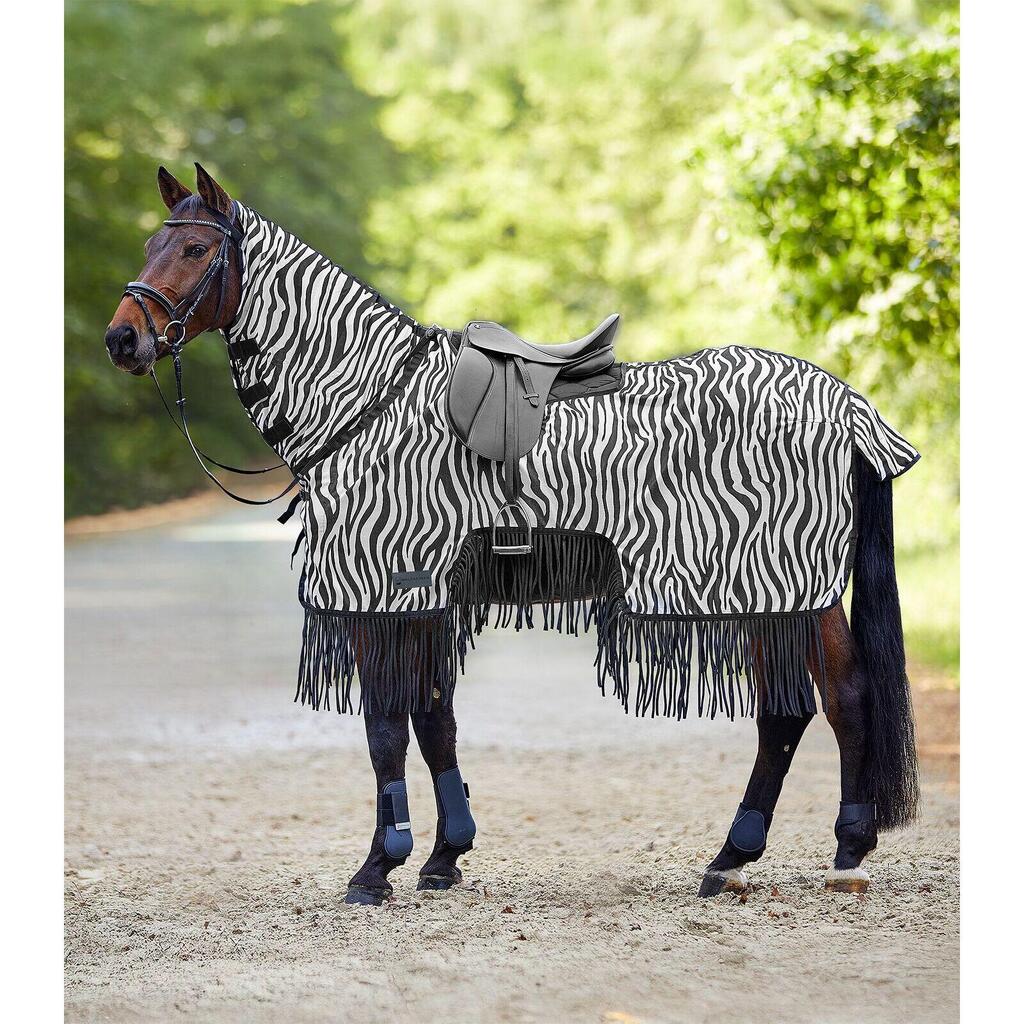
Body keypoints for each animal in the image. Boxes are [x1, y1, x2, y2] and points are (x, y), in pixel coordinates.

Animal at [104, 164, 919, 906]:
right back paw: (750, 857)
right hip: (770, 590)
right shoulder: (423, 595)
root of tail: (846, 402)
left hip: (787, 585)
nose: (122, 339)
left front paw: (378, 867)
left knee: (834, 701)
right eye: (149, 243)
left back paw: (827, 854)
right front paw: (443, 857)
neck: (368, 399)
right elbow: (435, 718)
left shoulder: (384, 591)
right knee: (802, 708)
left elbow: (385, 727)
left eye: (195, 249)